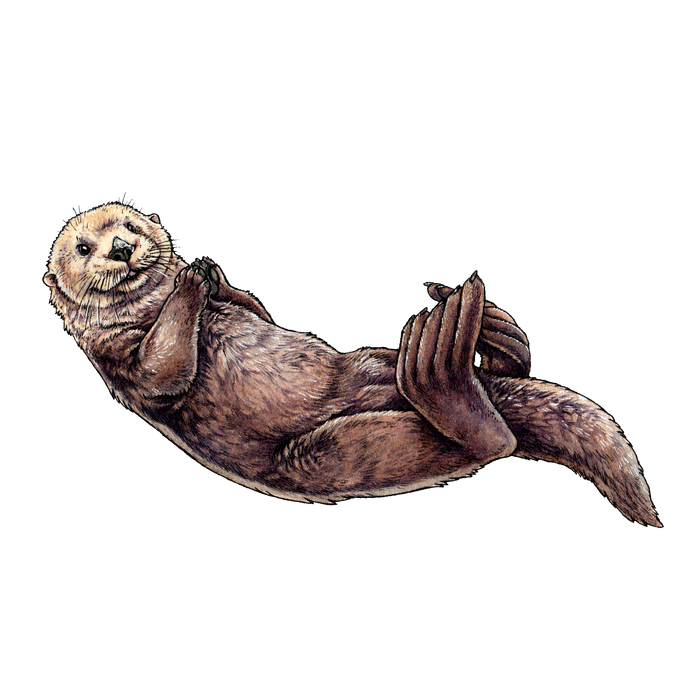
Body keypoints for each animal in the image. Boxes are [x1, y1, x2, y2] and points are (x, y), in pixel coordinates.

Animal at [43, 203, 662, 527]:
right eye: (82, 247)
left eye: (132, 226)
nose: (121, 250)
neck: (145, 303)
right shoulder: (120, 358)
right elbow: (163, 370)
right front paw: (191, 282)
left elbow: (251, 308)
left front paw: (207, 271)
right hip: (329, 455)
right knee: (485, 443)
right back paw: (450, 379)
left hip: (366, 367)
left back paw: (495, 337)